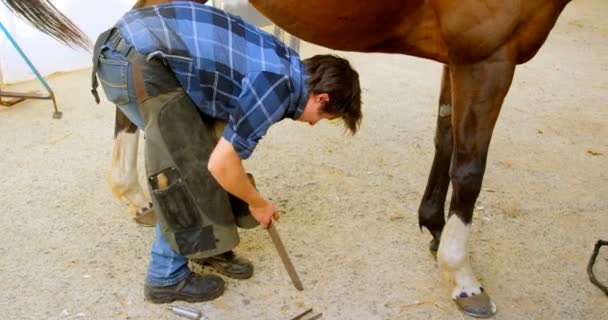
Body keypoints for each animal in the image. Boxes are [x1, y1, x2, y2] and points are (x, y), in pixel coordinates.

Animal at [3, 0, 576, 316]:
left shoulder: (458, 56)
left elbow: (445, 137)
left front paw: (433, 228)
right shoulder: (487, 55)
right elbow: (471, 167)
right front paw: (462, 279)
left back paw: (140, 198)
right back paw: (139, 195)